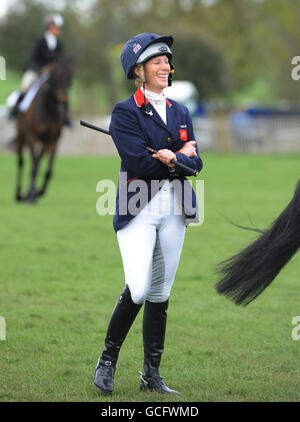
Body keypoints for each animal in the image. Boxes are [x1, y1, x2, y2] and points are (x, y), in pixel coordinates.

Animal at [14, 55, 73, 204]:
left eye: (71, 75)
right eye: (57, 75)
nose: (63, 99)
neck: (49, 109)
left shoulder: (53, 140)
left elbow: (48, 170)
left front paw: (39, 192)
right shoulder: (32, 138)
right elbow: (33, 168)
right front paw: (31, 196)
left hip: (43, 142)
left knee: (38, 161)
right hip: (21, 135)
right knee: (21, 162)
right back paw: (19, 194)